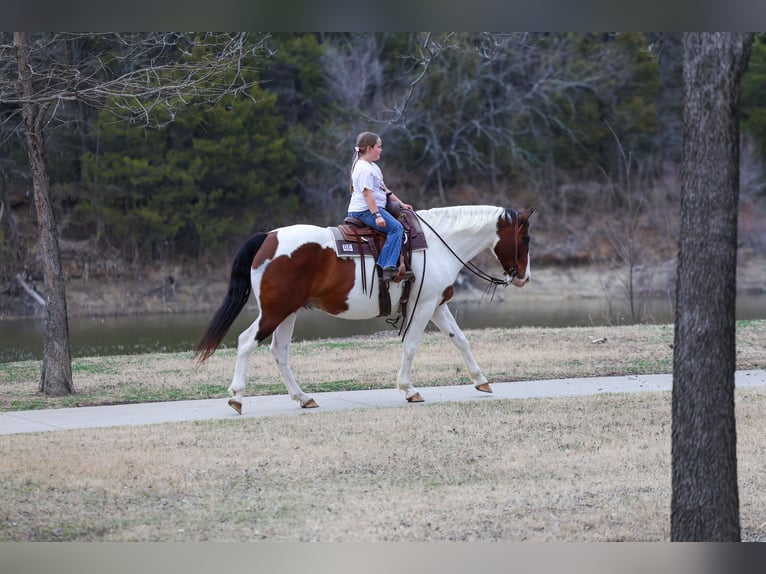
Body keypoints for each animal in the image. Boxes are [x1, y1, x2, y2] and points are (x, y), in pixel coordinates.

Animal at [195, 205, 535, 413]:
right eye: (526, 238)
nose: (524, 278)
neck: (439, 244)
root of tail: (268, 237)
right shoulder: (424, 305)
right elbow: (411, 346)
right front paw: (408, 389)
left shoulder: (437, 305)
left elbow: (460, 340)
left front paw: (481, 380)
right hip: (275, 311)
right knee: (246, 342)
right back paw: (237, 397)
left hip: (288, 312)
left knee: (279, 352)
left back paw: (303, 398)